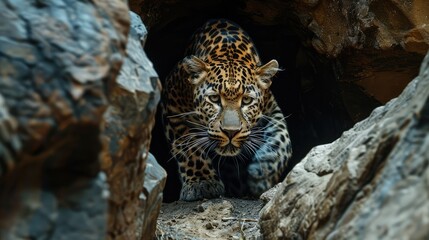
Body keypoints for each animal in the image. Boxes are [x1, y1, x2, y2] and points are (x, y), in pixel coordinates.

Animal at [160, 18, 290, 201]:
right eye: (214, 98)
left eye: (247, 100)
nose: (230, 132)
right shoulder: (172, 102)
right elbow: (188, 144)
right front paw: (202, 182)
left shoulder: (271, 107)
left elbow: (283, 138)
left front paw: (263, 171)